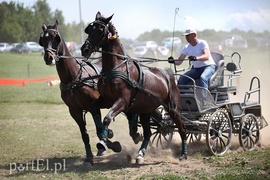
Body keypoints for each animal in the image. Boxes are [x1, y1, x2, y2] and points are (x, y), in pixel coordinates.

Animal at [38, 20, 122, 166]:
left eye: (56, 38)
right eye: (43, 39)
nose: (49, 58)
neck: (74, 78)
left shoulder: (94, 107)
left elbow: (99, 130)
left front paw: (112, 143)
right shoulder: (74, 111)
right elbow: (85, 134)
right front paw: (89, 157)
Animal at [81, 11, 187, 163]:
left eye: (100, 29)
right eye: (89, 29)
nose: (85, 49)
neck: (115, 67)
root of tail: (167, 74)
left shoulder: (122, 101)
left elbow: (107, 118)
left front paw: (102, 142)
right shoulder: (106, 100)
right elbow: (95, 109)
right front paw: (107, 135)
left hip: (173, 109)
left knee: (182, 129)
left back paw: (183, 154)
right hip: (146, 110)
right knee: (148, 133)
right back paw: (140, 154)